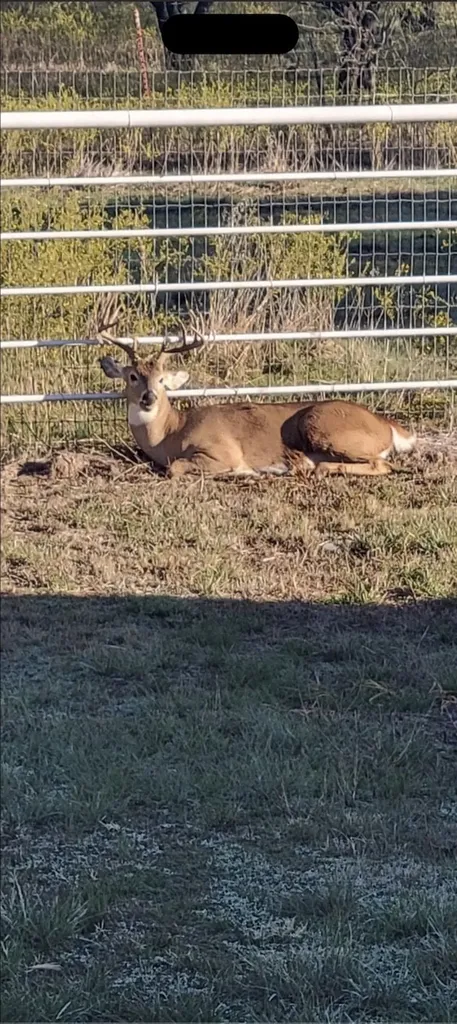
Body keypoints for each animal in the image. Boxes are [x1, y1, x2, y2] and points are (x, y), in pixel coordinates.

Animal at [95, 299, 416, 479]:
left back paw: (314, 469)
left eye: (162, 379)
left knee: (381, 465)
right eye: (133, 376)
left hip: (324, 427)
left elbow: (175, 469)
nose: (149, 398)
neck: (171, 434)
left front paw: (242, 473)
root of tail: (388, 426)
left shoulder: (222, 450)